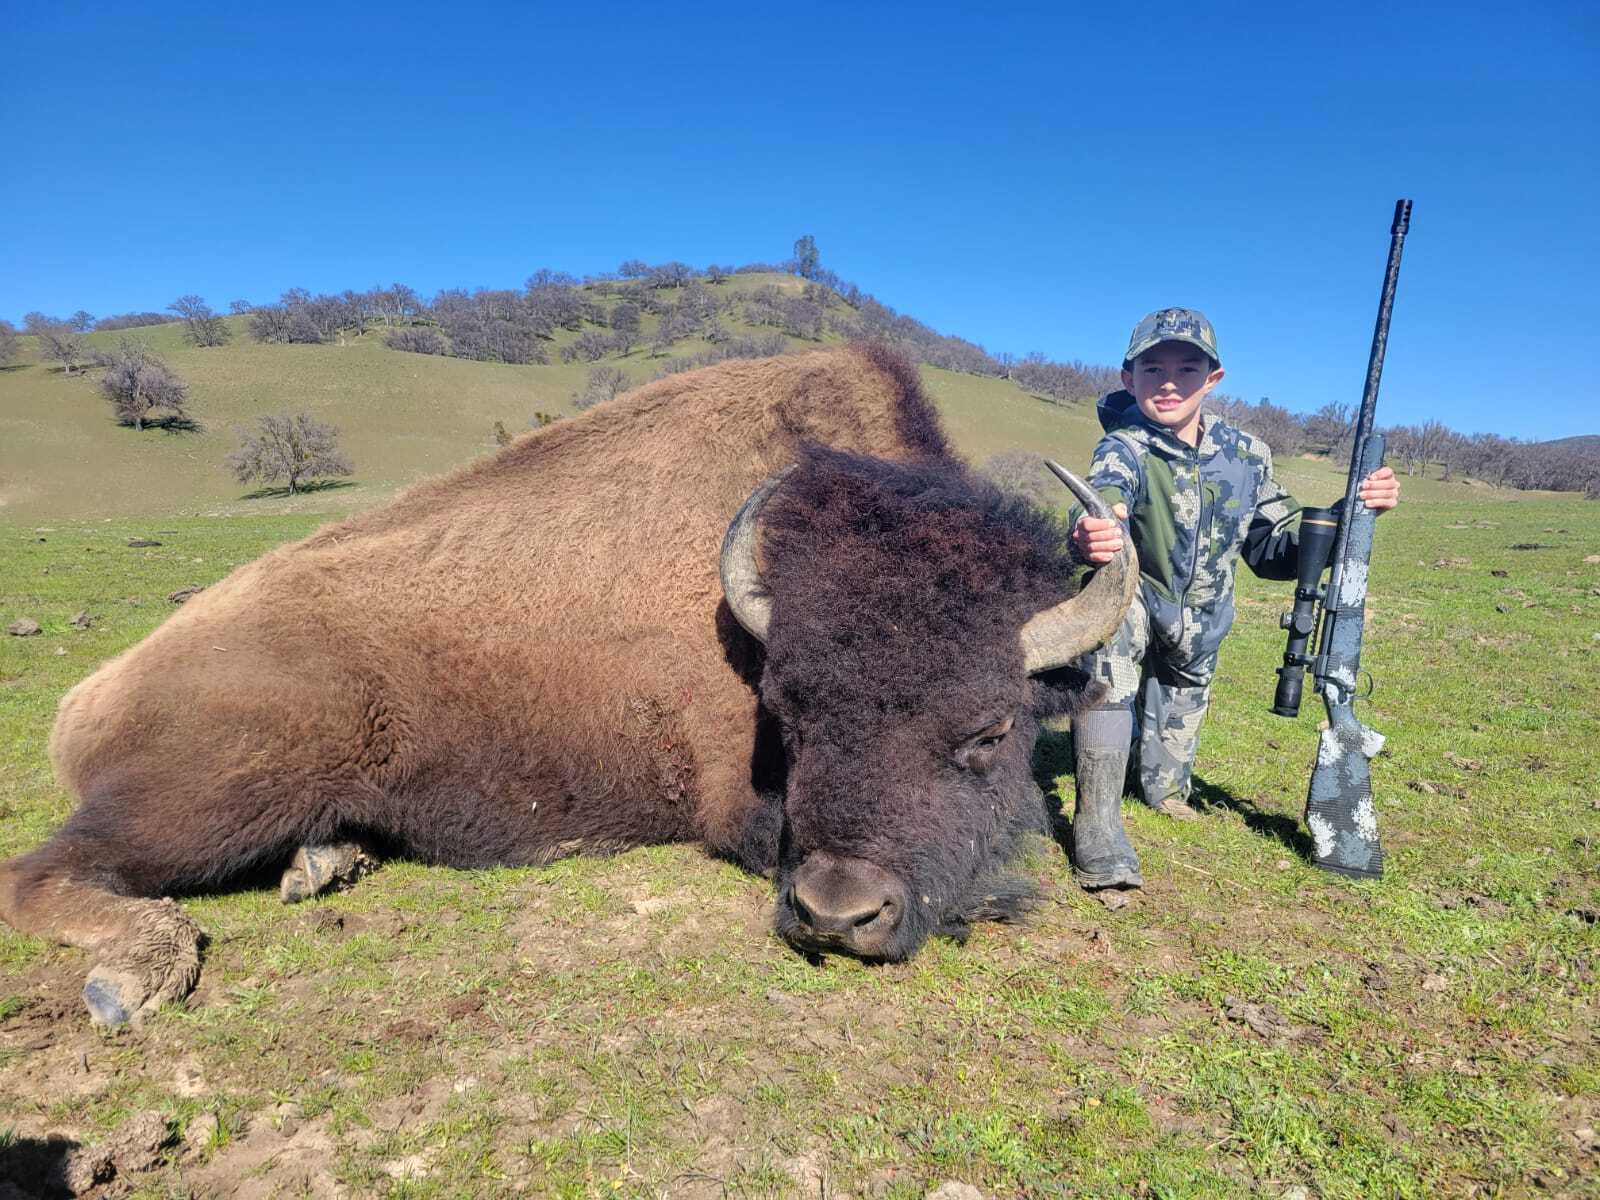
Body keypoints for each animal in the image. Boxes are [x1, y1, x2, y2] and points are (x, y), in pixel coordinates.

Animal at [0, 345, 1133, 1026]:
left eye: (988, 730)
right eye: (790, 713)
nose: (835, 913)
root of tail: (87, 694)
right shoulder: (742, 810)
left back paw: (328, 864)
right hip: (220, 789)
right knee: (45, 871)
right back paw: (136, 975)